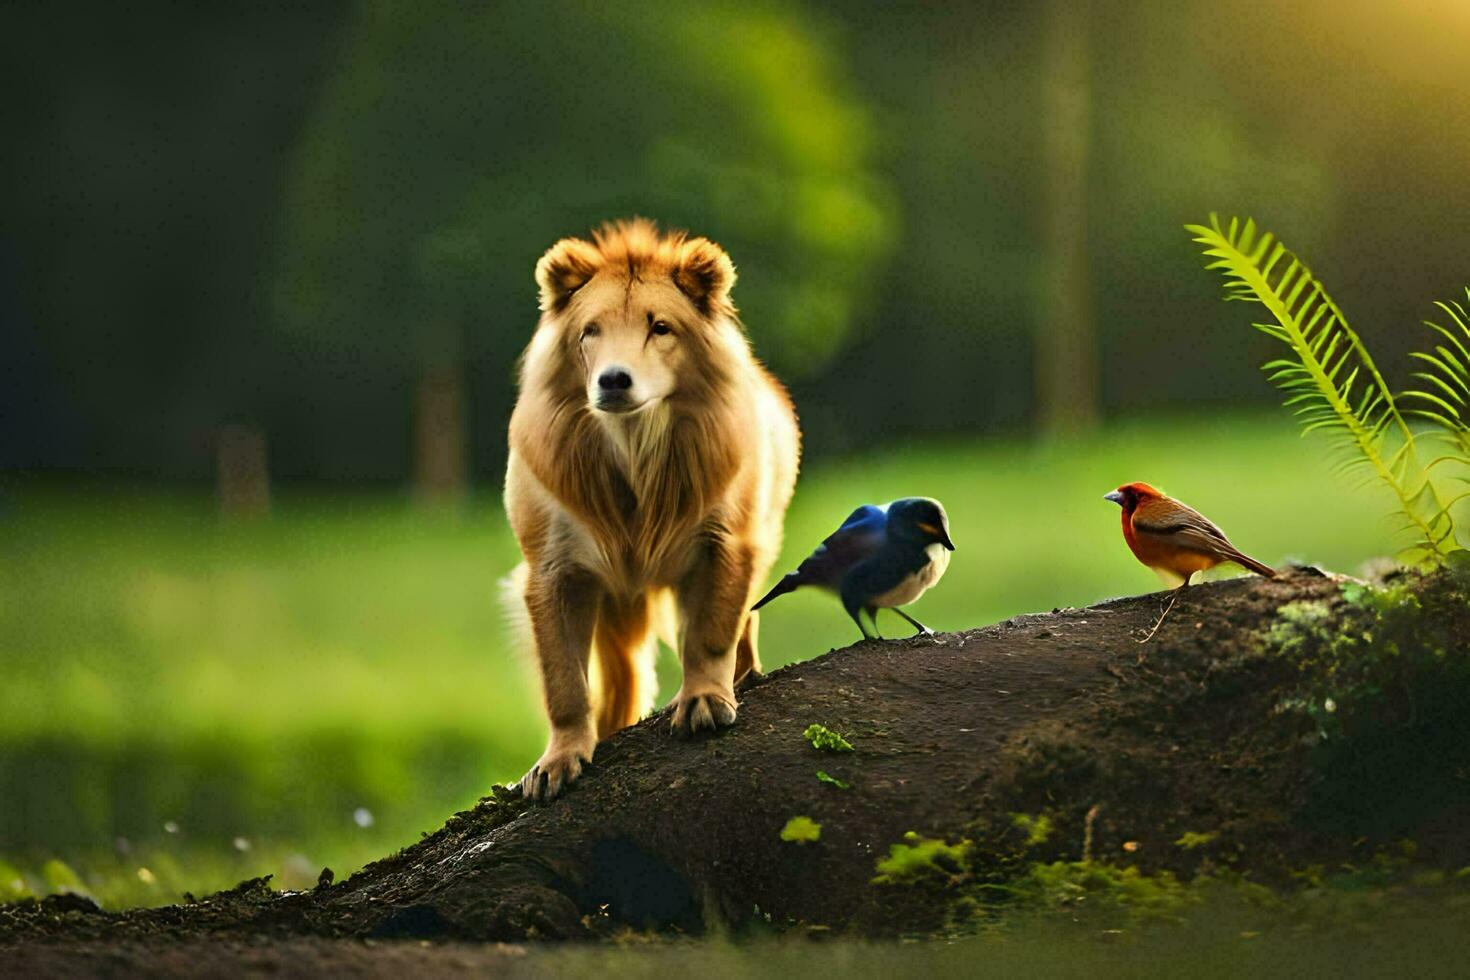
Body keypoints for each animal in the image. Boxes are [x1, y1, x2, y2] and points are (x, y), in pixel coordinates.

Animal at [505, 218, 805, 799]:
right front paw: (559, 760)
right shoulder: (553, 570)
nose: (613, 379)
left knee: (742, 626)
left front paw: (704, 701)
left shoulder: (726, 543)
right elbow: (564, 682)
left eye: (660, 328)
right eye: (590, 331)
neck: (634, 447)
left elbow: (711, 634)